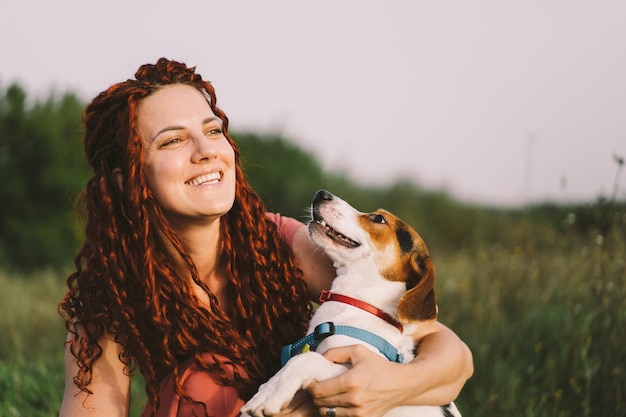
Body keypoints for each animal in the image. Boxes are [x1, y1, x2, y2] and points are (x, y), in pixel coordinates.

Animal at [241, 189, 460, 416]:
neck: (353, 303)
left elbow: (305, 360)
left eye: (379, 219)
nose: (321, 193)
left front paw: (269, 395)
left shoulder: (350, 372)